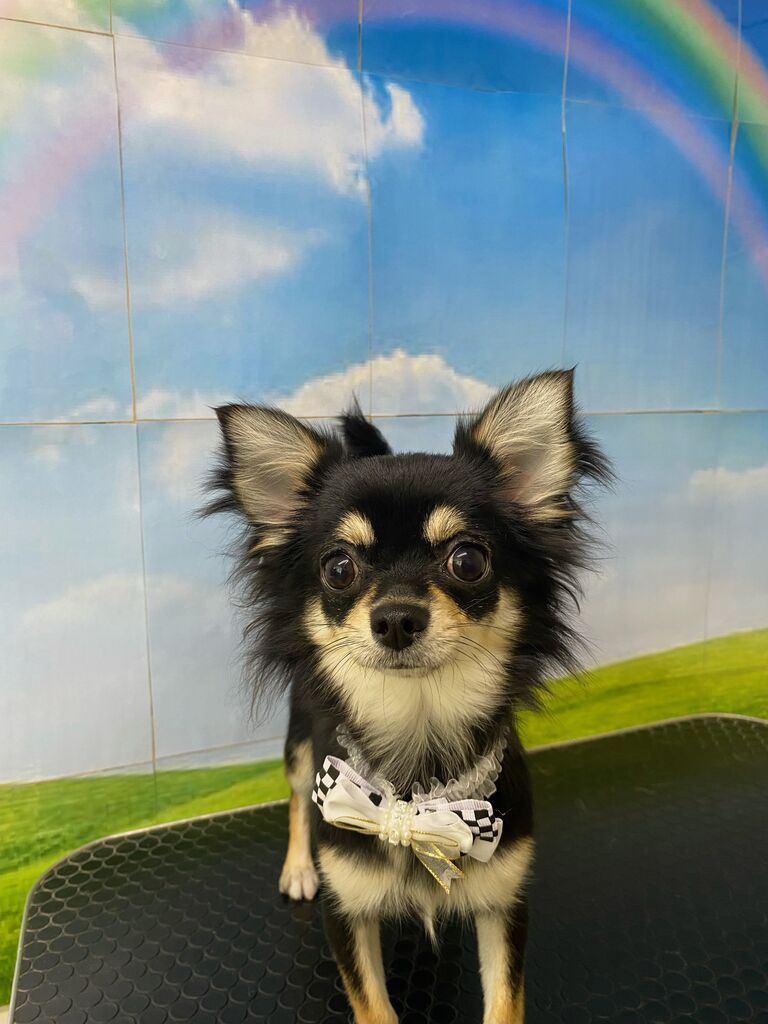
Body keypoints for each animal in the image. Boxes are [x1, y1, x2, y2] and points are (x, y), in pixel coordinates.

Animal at [206, 369, 610, 1024]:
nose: (395, 617)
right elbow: (374, 1007)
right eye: (339, 568)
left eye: (467, 560)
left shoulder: (504, 901)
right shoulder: (347, 910)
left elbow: (506, 1003)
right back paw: (298, 867)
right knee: (294, 797)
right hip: (300, 744)